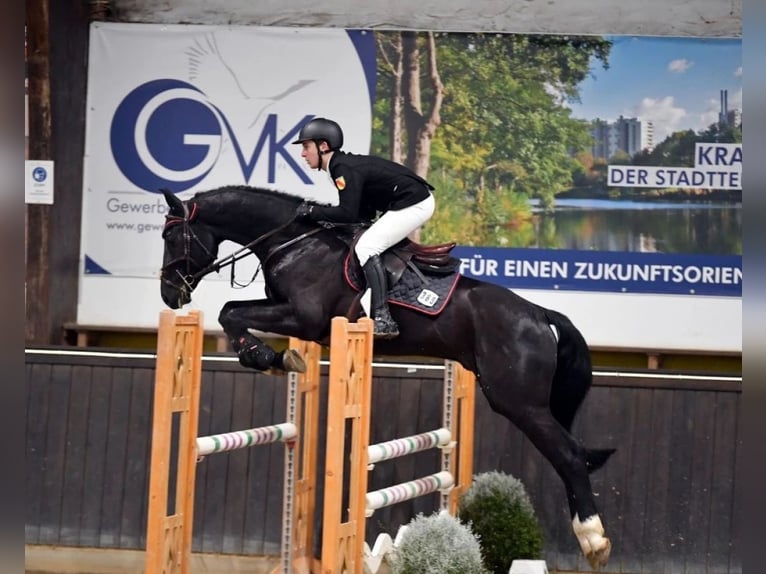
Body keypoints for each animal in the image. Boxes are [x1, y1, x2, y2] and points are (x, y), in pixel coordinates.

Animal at [160, 186, 616, 572]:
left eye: (172, 237)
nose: (169, 295)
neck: (295, 242)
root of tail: (540, 314)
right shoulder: (290, 314)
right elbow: (233, 310)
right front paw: (276, 358)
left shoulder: (305, 318)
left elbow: (230, 312)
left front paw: (266, 356)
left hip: (518, 402)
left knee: (569, 455)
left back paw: (594, 540)